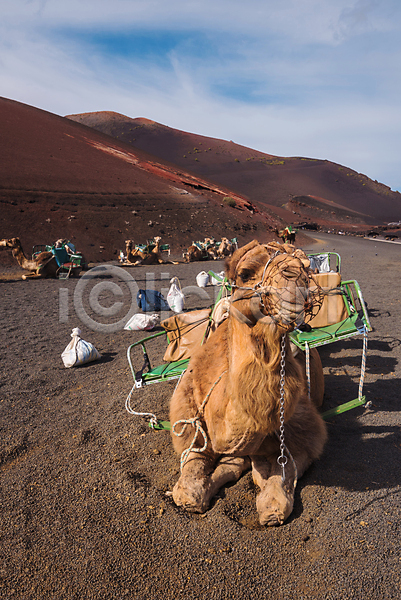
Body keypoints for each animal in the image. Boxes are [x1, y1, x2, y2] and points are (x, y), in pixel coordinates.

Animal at [168, 239, 324, 524]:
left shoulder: (304, 433)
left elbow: (280, 479)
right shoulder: (189, 421)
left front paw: (271, 505)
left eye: (305, 265)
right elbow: (189, 483)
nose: (294, 275)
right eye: (244, 273)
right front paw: (196, 493)